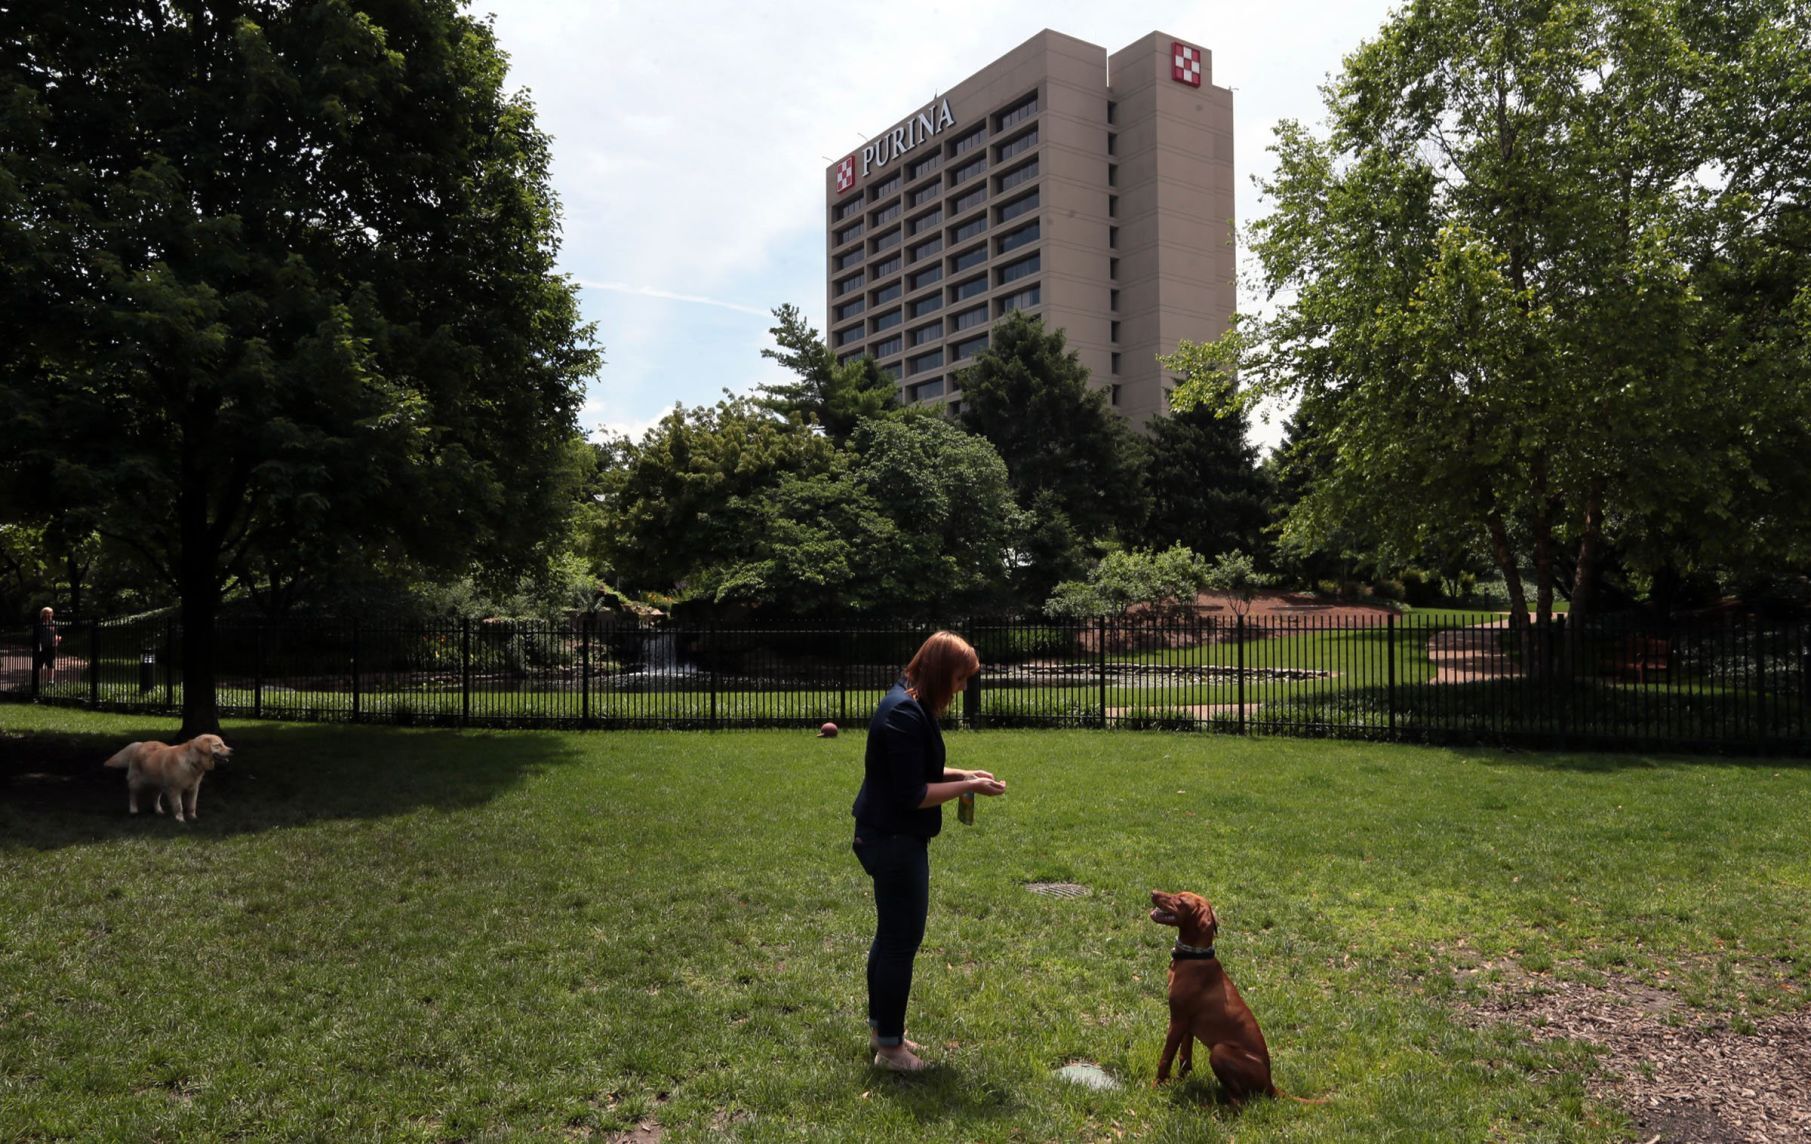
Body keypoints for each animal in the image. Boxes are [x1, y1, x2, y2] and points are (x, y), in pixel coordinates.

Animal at [103, 731, 231, 821]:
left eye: (224, 744)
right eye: (218, 745)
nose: (232, 750)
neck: (192, 761)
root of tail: (140, 744)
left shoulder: (193, 788)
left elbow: (192, 805)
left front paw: (193, 818)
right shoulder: (175, 789)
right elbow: (179, 806)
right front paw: (180, 820)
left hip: (159, 785)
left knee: (155, 798)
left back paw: (159, 811)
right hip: (136, 782)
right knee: (133, 795)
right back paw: (133, 810)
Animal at [1151, 890, 1325, 1100]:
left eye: (1181, 900)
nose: (1153, 892)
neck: (1194, 957)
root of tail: (1270, 1084)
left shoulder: (1177, 1020)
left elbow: (1165, 1058)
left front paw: (1156, 1086)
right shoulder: (1187, 1024)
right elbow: (1185, 1057)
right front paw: (1180, 1082)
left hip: (1219, 1051)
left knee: (1240, 1100)